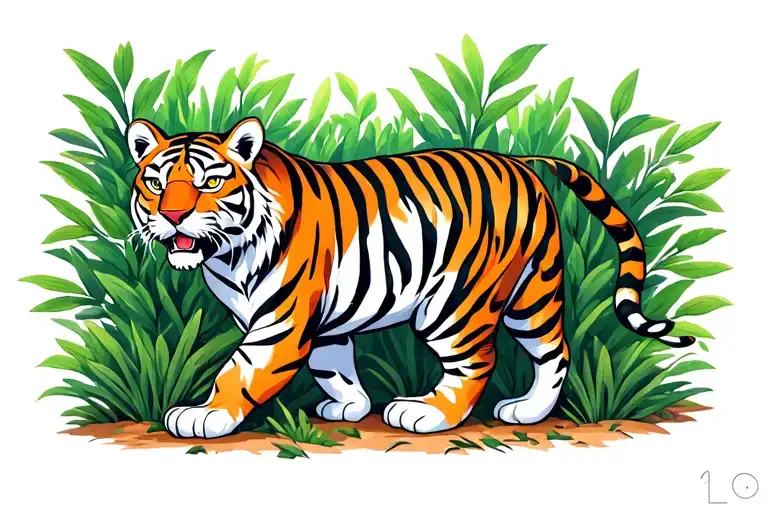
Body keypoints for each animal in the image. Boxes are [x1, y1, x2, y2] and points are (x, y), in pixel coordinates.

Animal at [126, 116, 694, 439]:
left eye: (210, 182)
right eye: (156, 183)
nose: (172, 216)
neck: (226, 253)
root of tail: (517, 160)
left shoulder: (280, 321)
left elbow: (240, 371)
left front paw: (204, 416)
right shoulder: (326, 321)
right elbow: (333, 365)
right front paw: (349, 406)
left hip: (454, 304)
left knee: (477, 363)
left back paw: (429, 414)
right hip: (532, 293)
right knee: (555, 351)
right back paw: (529, 412)